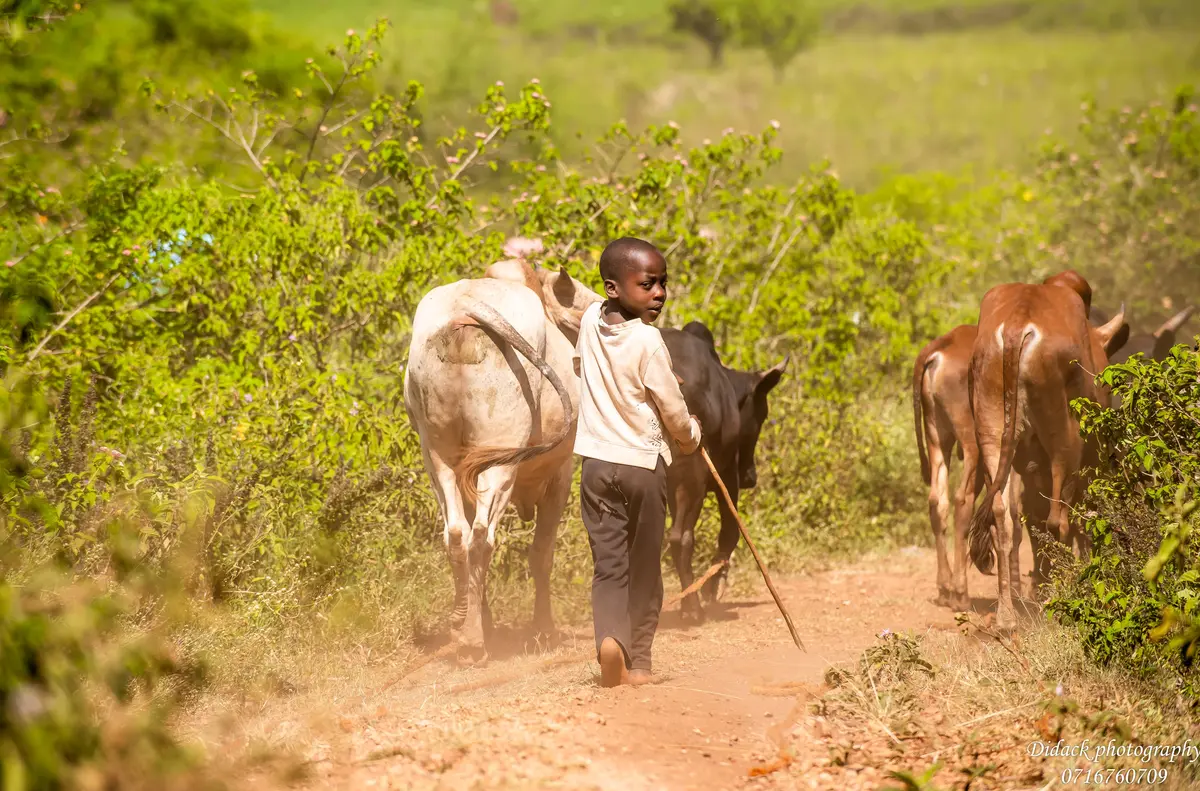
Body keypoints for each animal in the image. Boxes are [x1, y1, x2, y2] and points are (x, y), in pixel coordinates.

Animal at [403, 258, 601, 662]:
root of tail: (465, 309)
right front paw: (543, 628)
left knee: (458, 534)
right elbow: (541, 555)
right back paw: (473, 639)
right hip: (500, 461)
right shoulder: (560, 476)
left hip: (439, 458)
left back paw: (466, 622)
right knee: (482, 536)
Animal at [661, 321, 787, 621]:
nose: (751, 477)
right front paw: (714, 586)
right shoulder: (727, 475)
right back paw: (692, 608)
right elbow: (730, 531)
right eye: (762, 414)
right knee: (680, 537)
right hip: (692, 476)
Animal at [912, 324, 985, 611]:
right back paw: (960, 593)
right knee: (962, 501)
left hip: (937, 438)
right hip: (972, 444)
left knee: (937, 502)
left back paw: (945, 588)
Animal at [966, 270, 1128, 633]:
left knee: (1003, 518)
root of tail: (1016, 326)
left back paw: (1009, 616)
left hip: (993, 434)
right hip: (1064, 442)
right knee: (1058, 519)